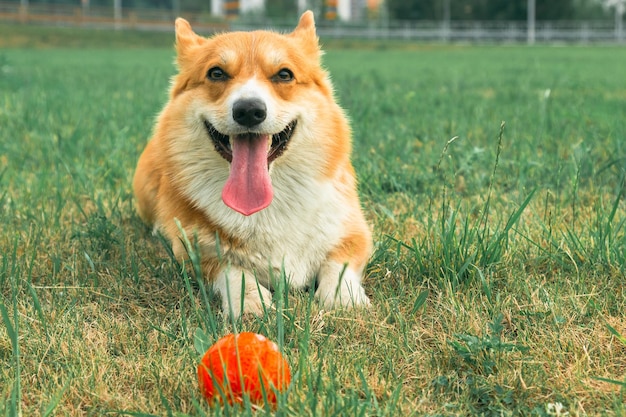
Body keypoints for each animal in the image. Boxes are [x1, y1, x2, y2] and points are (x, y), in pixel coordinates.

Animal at [132, 10, 370, 316]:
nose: (248, 111)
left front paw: (343, 298)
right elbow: (232, 271)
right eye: (216, 73)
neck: (268, 206)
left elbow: (339, 262)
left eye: (284, 74)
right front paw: (251, 301)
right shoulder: (195, 253)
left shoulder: (355, 232)